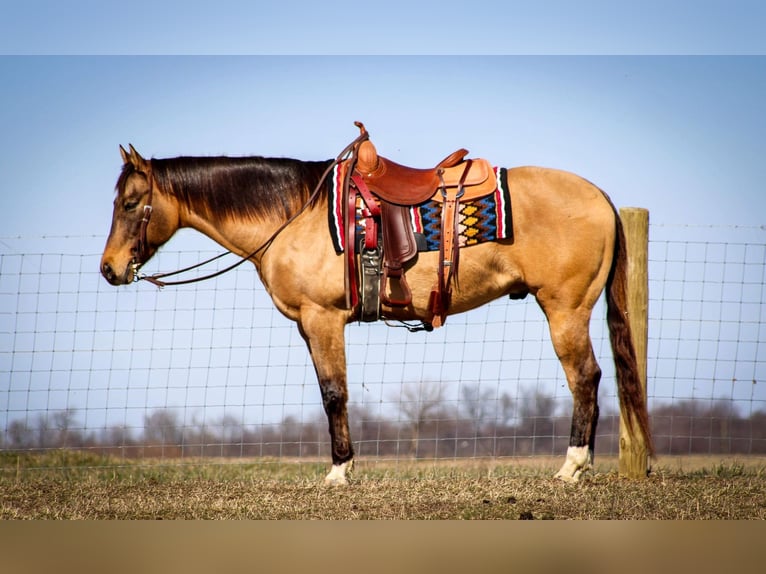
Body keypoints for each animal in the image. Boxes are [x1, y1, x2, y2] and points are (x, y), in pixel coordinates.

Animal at [100, 125, 656, 486]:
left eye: (129, 204)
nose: (109, 269)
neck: (294, 214)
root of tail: (600, 196)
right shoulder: (310, 326)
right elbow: (332, 393)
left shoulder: (323, 320)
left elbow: (334, 394)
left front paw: (339, 472)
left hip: (565, 311)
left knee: (585, 377)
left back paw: (572, 467)